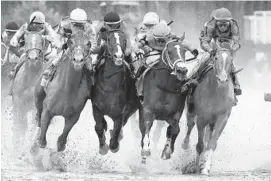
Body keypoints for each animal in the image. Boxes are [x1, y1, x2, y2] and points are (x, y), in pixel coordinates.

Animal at [183, 40, 236, 175]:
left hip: (212, 122)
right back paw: (185, 144)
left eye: (231, 59)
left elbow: (211, 144)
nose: (222, 79)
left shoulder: (222, 118)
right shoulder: (202, 119)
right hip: (191, 111)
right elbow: (200, 145)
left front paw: (205, 168)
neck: (216, 92)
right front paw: (196, 167)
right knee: (190, 125)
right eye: (216, 58)